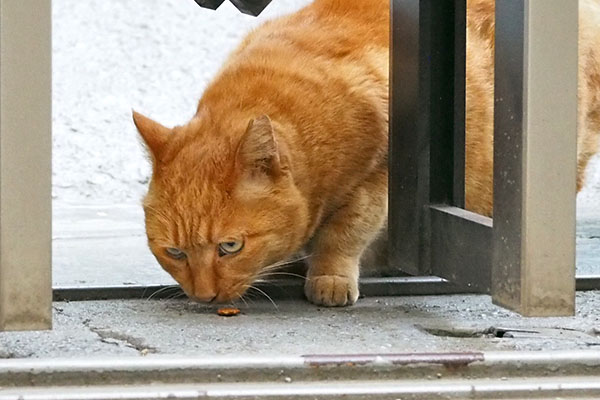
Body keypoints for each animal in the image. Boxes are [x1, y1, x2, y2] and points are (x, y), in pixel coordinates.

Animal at [136, 0, 600, 306]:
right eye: (174, 253)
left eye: (230, 247)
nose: (204, 296)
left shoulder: (379, 176)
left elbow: (345, 232)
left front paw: (328, 275)